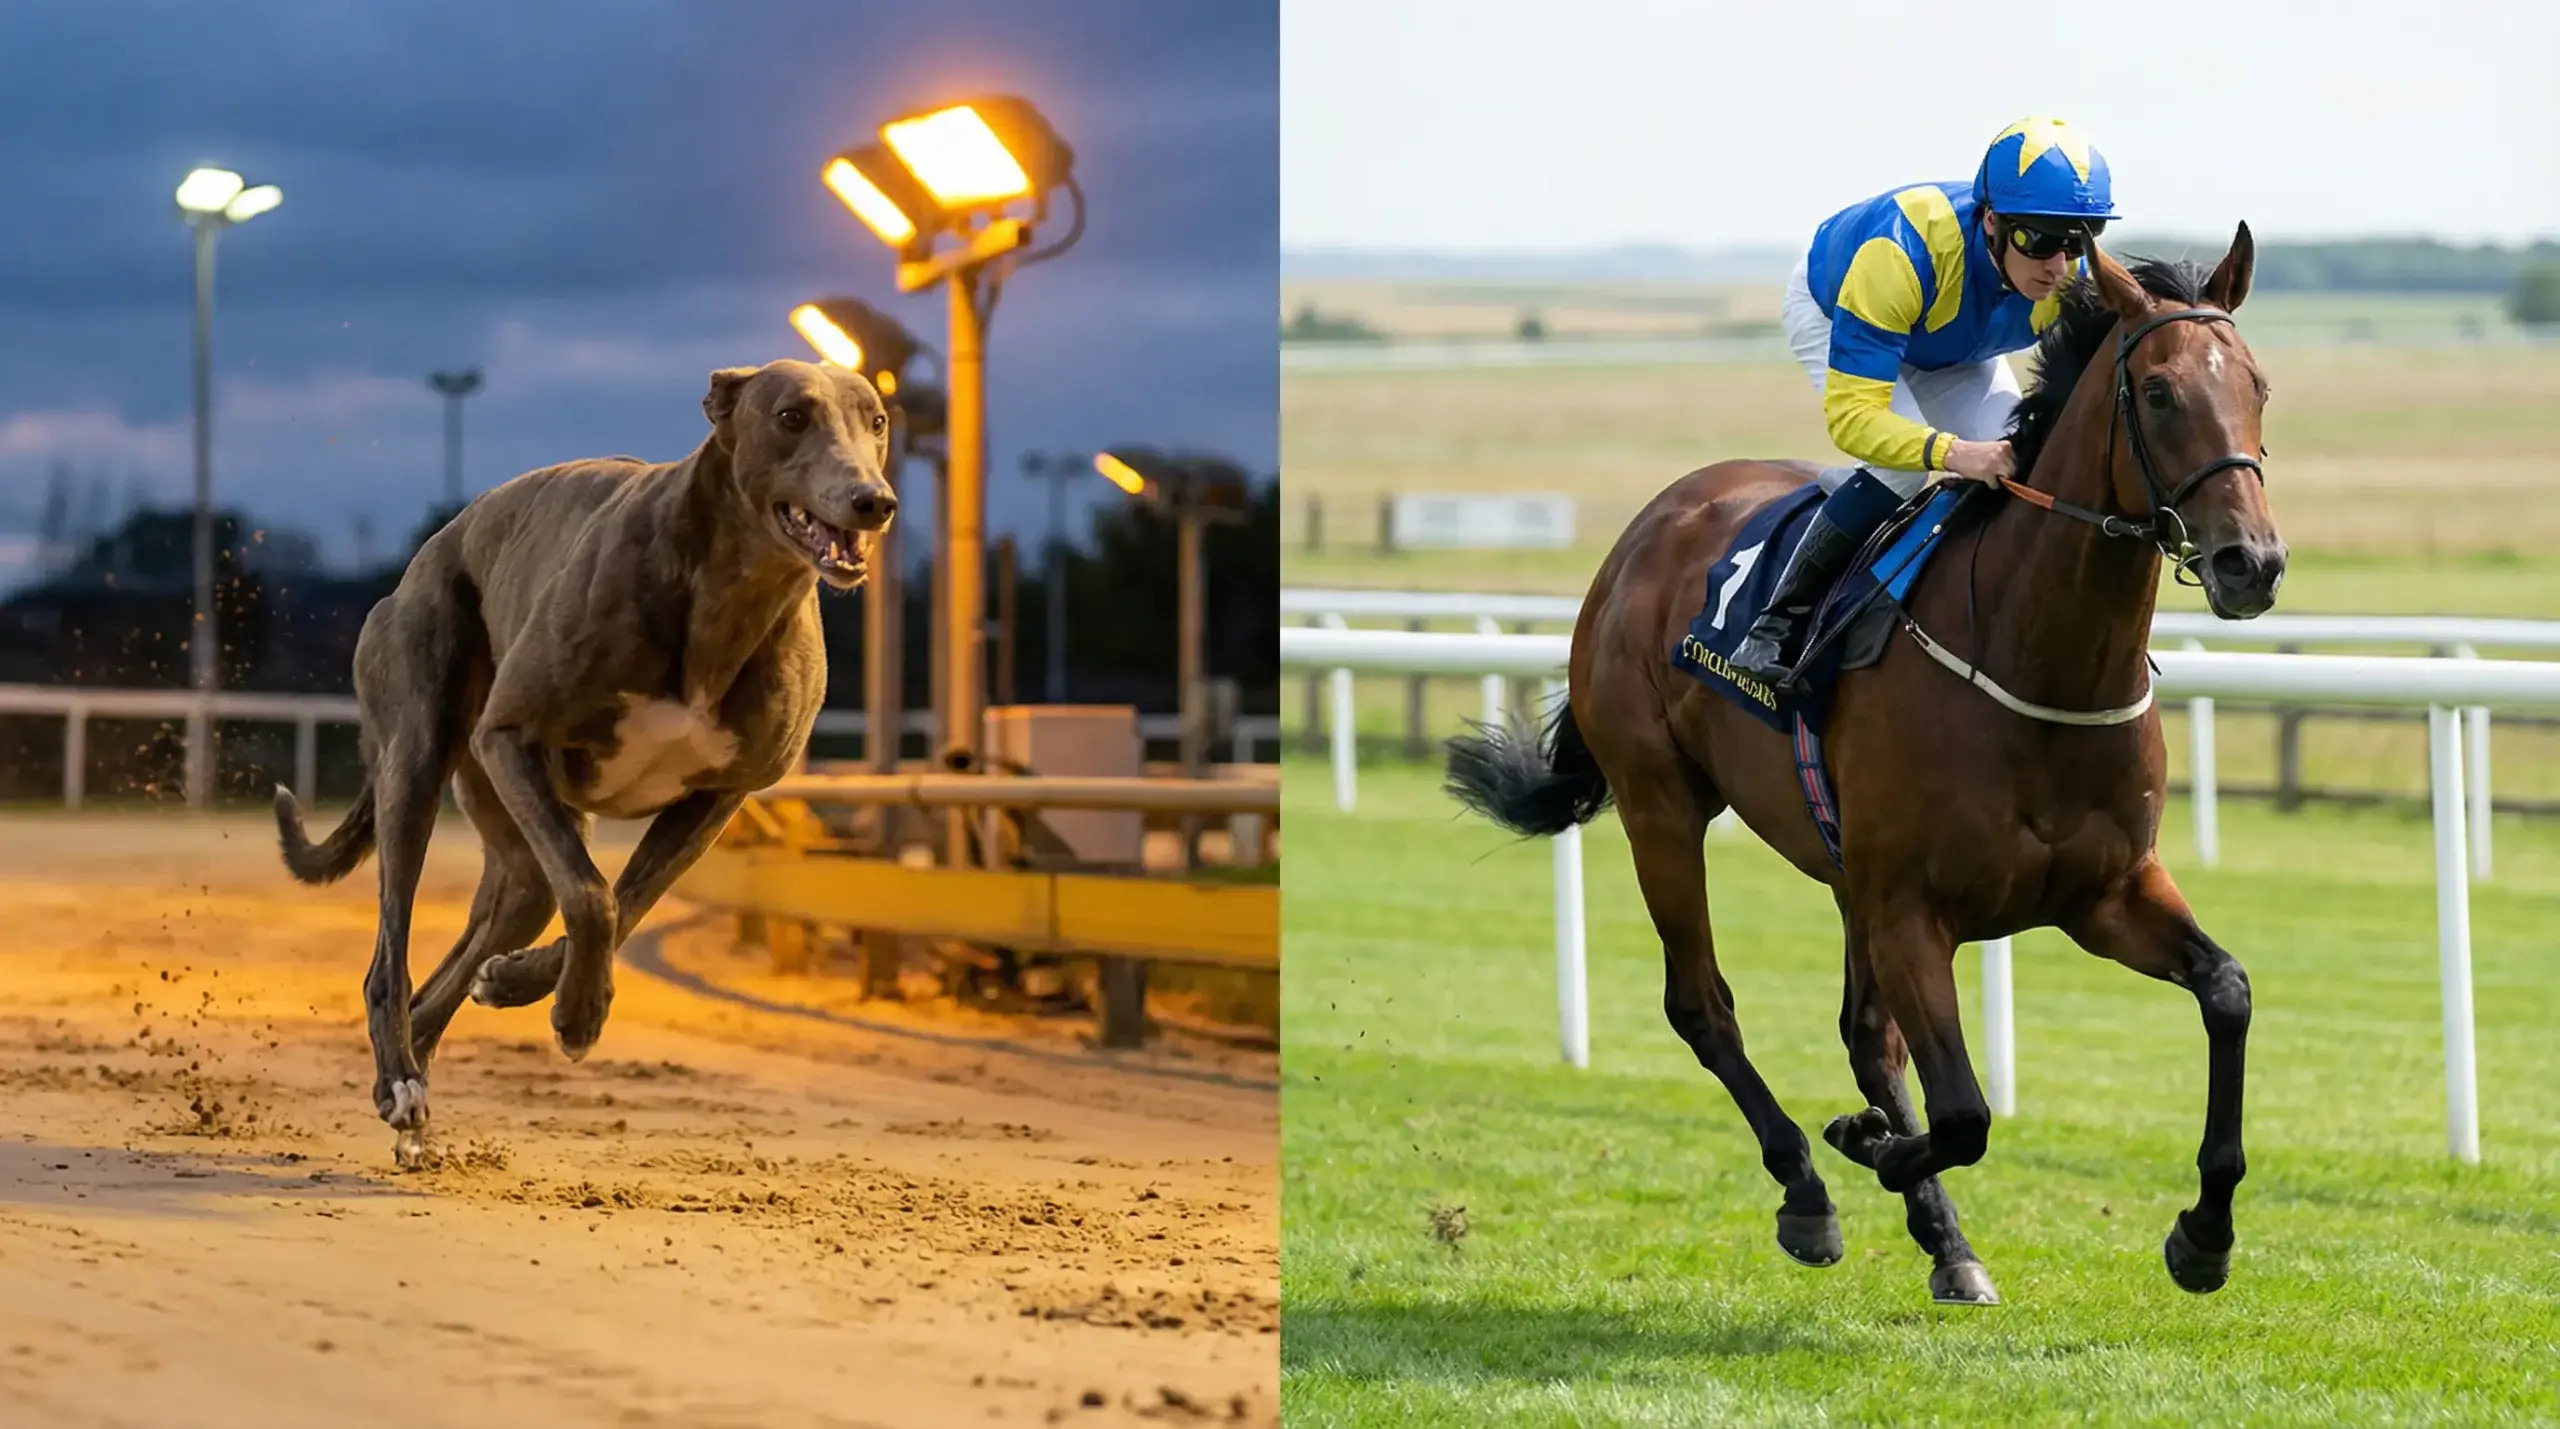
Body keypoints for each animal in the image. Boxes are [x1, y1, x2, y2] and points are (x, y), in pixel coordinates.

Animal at [1444, 226, 2280, 1305]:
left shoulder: (2103, 892)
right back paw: (1808, 1189)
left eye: (2259, 385)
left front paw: (2204, 1232)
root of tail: (1651, 523)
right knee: (1702, 1004)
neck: (2036, 657)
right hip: (1660, 805)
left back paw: (1943, 1237)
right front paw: (1866, 1144)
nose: (2251, 563)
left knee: (1863, 1035)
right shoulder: (1911, 909)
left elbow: (2227, 991)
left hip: (1843, 870)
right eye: (2162, 392)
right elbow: (1963, 1113)